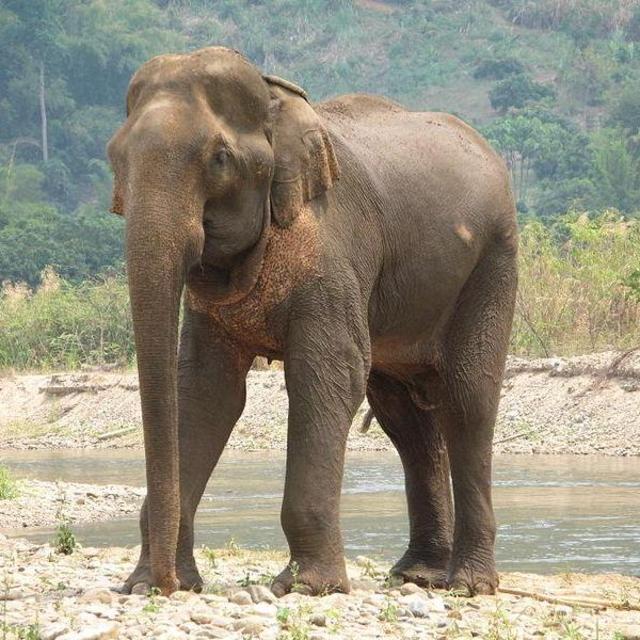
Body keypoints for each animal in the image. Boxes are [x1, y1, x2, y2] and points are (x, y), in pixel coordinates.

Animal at [106, 46, 518, 598]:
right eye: (115, 157)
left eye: (220, 159)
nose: (166, 585)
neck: (275, 100)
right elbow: (207, 390)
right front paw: (144, 585)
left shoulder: (332, 248)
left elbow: (326, 374)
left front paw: (307, 587)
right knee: (405, 418)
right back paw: (418, 574)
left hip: (493, 260)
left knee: (468, 398)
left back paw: (467, 585)